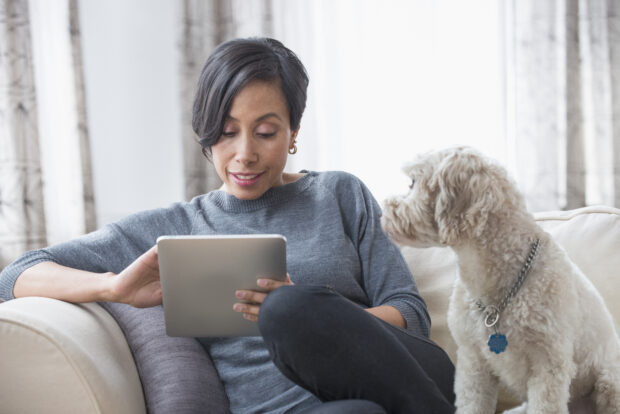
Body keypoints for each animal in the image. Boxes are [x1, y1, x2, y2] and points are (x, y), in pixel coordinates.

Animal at [382, 147, 620, 412]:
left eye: (412, 183)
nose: (384, 209)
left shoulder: (549, 365)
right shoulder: (473, 362)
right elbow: (472, 405)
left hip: (609, 381)